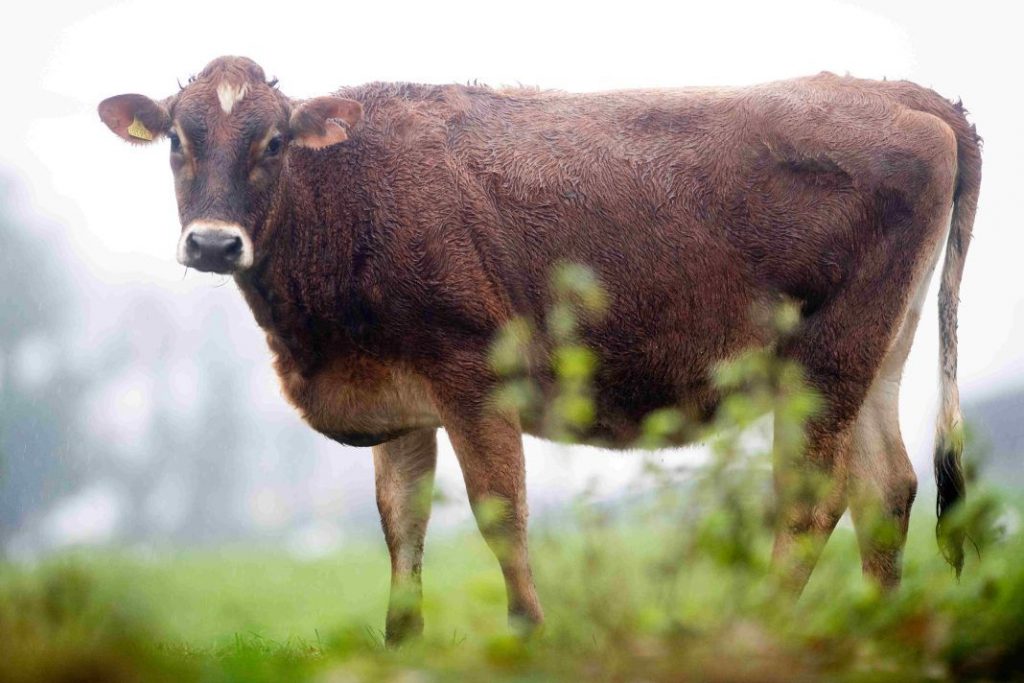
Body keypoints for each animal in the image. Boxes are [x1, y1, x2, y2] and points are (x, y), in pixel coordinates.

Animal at [99, 57, 978, 647]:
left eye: (274, 141)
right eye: (176, 140)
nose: (214, 243)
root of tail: (901, 93)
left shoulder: (473, 375)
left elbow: (500, 515)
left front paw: (530, 634)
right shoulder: (401, 396)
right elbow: (401, 524)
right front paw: (404, 644)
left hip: (824, 360)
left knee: (812, 500)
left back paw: (759, 629)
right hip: (878, 353)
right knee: (885, 491)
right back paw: (877, 635)